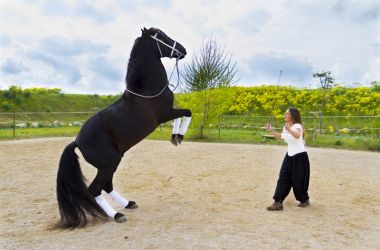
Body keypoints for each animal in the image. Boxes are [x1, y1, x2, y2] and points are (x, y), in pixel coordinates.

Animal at [55, 27, 191, 229]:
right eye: (160, 34)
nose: (182, 50)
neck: (147, 90)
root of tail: (77, 141)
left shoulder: (168, 113)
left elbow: (184, 113)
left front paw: (175, 137)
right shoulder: (165, 114)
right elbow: (187, 112)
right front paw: (178, 136)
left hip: (112, 162)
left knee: (106, 186)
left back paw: (128, 203)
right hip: (109, 163)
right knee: (95, 189)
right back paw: (117, 214)